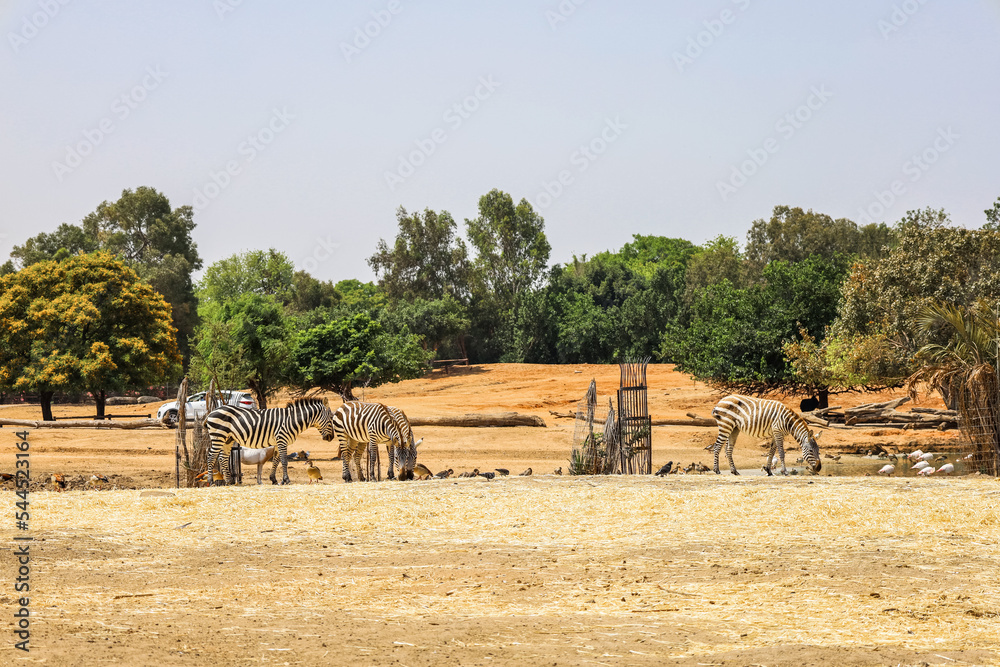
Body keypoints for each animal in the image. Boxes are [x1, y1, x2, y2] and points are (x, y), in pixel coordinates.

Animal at [206, 396, 336, 486]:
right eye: (331, 418)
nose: (331, 438)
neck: (291, 420)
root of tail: (212, 411)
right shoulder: (282, 440)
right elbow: (284, 461)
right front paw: (286, 480)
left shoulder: (278, 442)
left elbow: (276, 461)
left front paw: (275, 480)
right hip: (218, 436)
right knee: (211, 456)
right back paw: (210, 481)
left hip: (227, 439)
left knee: (222, 457)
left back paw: (229, 481)